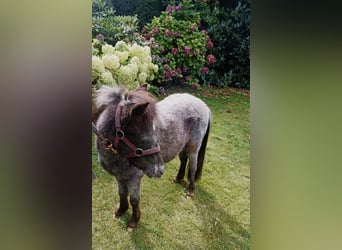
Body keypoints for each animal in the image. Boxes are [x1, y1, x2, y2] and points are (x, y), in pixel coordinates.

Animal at [93, 84, 211, 229]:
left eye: (154, 130)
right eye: (143, 136)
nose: (159, 169)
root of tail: (203, 105)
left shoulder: (134, 179)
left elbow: (134, 199)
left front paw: (134, 220)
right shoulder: (119, 176)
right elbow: (122, 194)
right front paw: (121, 210)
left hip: (193, 148)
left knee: (193, 167)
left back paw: (190, 190)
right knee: (183, 160)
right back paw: (178, 178)